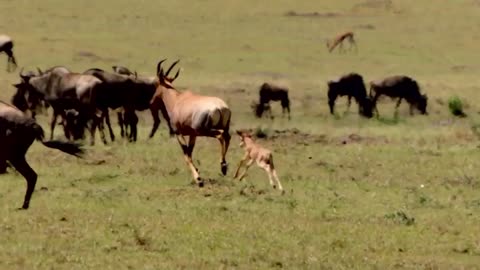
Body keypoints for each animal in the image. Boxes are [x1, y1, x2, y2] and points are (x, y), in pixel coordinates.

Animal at [152, 58, 231, 186]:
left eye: (156, 84)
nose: (152, 100)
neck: (178, 99)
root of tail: (220, 107)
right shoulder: (193, 135)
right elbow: (190, 152)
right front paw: (197, 173)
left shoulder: (178, 133)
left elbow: (186, 155)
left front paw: (198, 179)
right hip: (218, 128)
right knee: (227, 136)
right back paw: (224, 167)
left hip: (204, 130)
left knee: (221, 135)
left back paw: (222, 165)